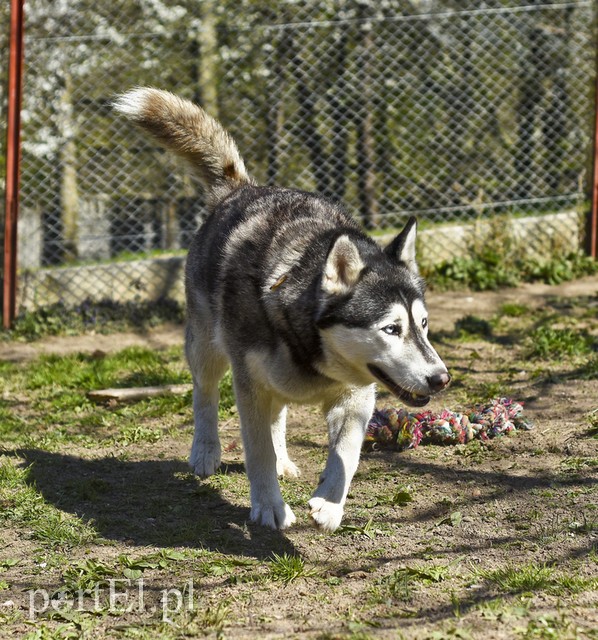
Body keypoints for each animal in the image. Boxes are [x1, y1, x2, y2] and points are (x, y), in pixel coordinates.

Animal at [113, 87, 450, 532]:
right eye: (391, 329)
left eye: (423, 325)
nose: (441, 378)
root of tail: (241, 188)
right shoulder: (249, 385)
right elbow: (257, 452)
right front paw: (269, 506)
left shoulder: (356, 398)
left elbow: (346, 454)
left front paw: (329, 504)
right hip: (207, 349)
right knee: (205, 394)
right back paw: (205, 452)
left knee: (278, 417)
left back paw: (284, 462)